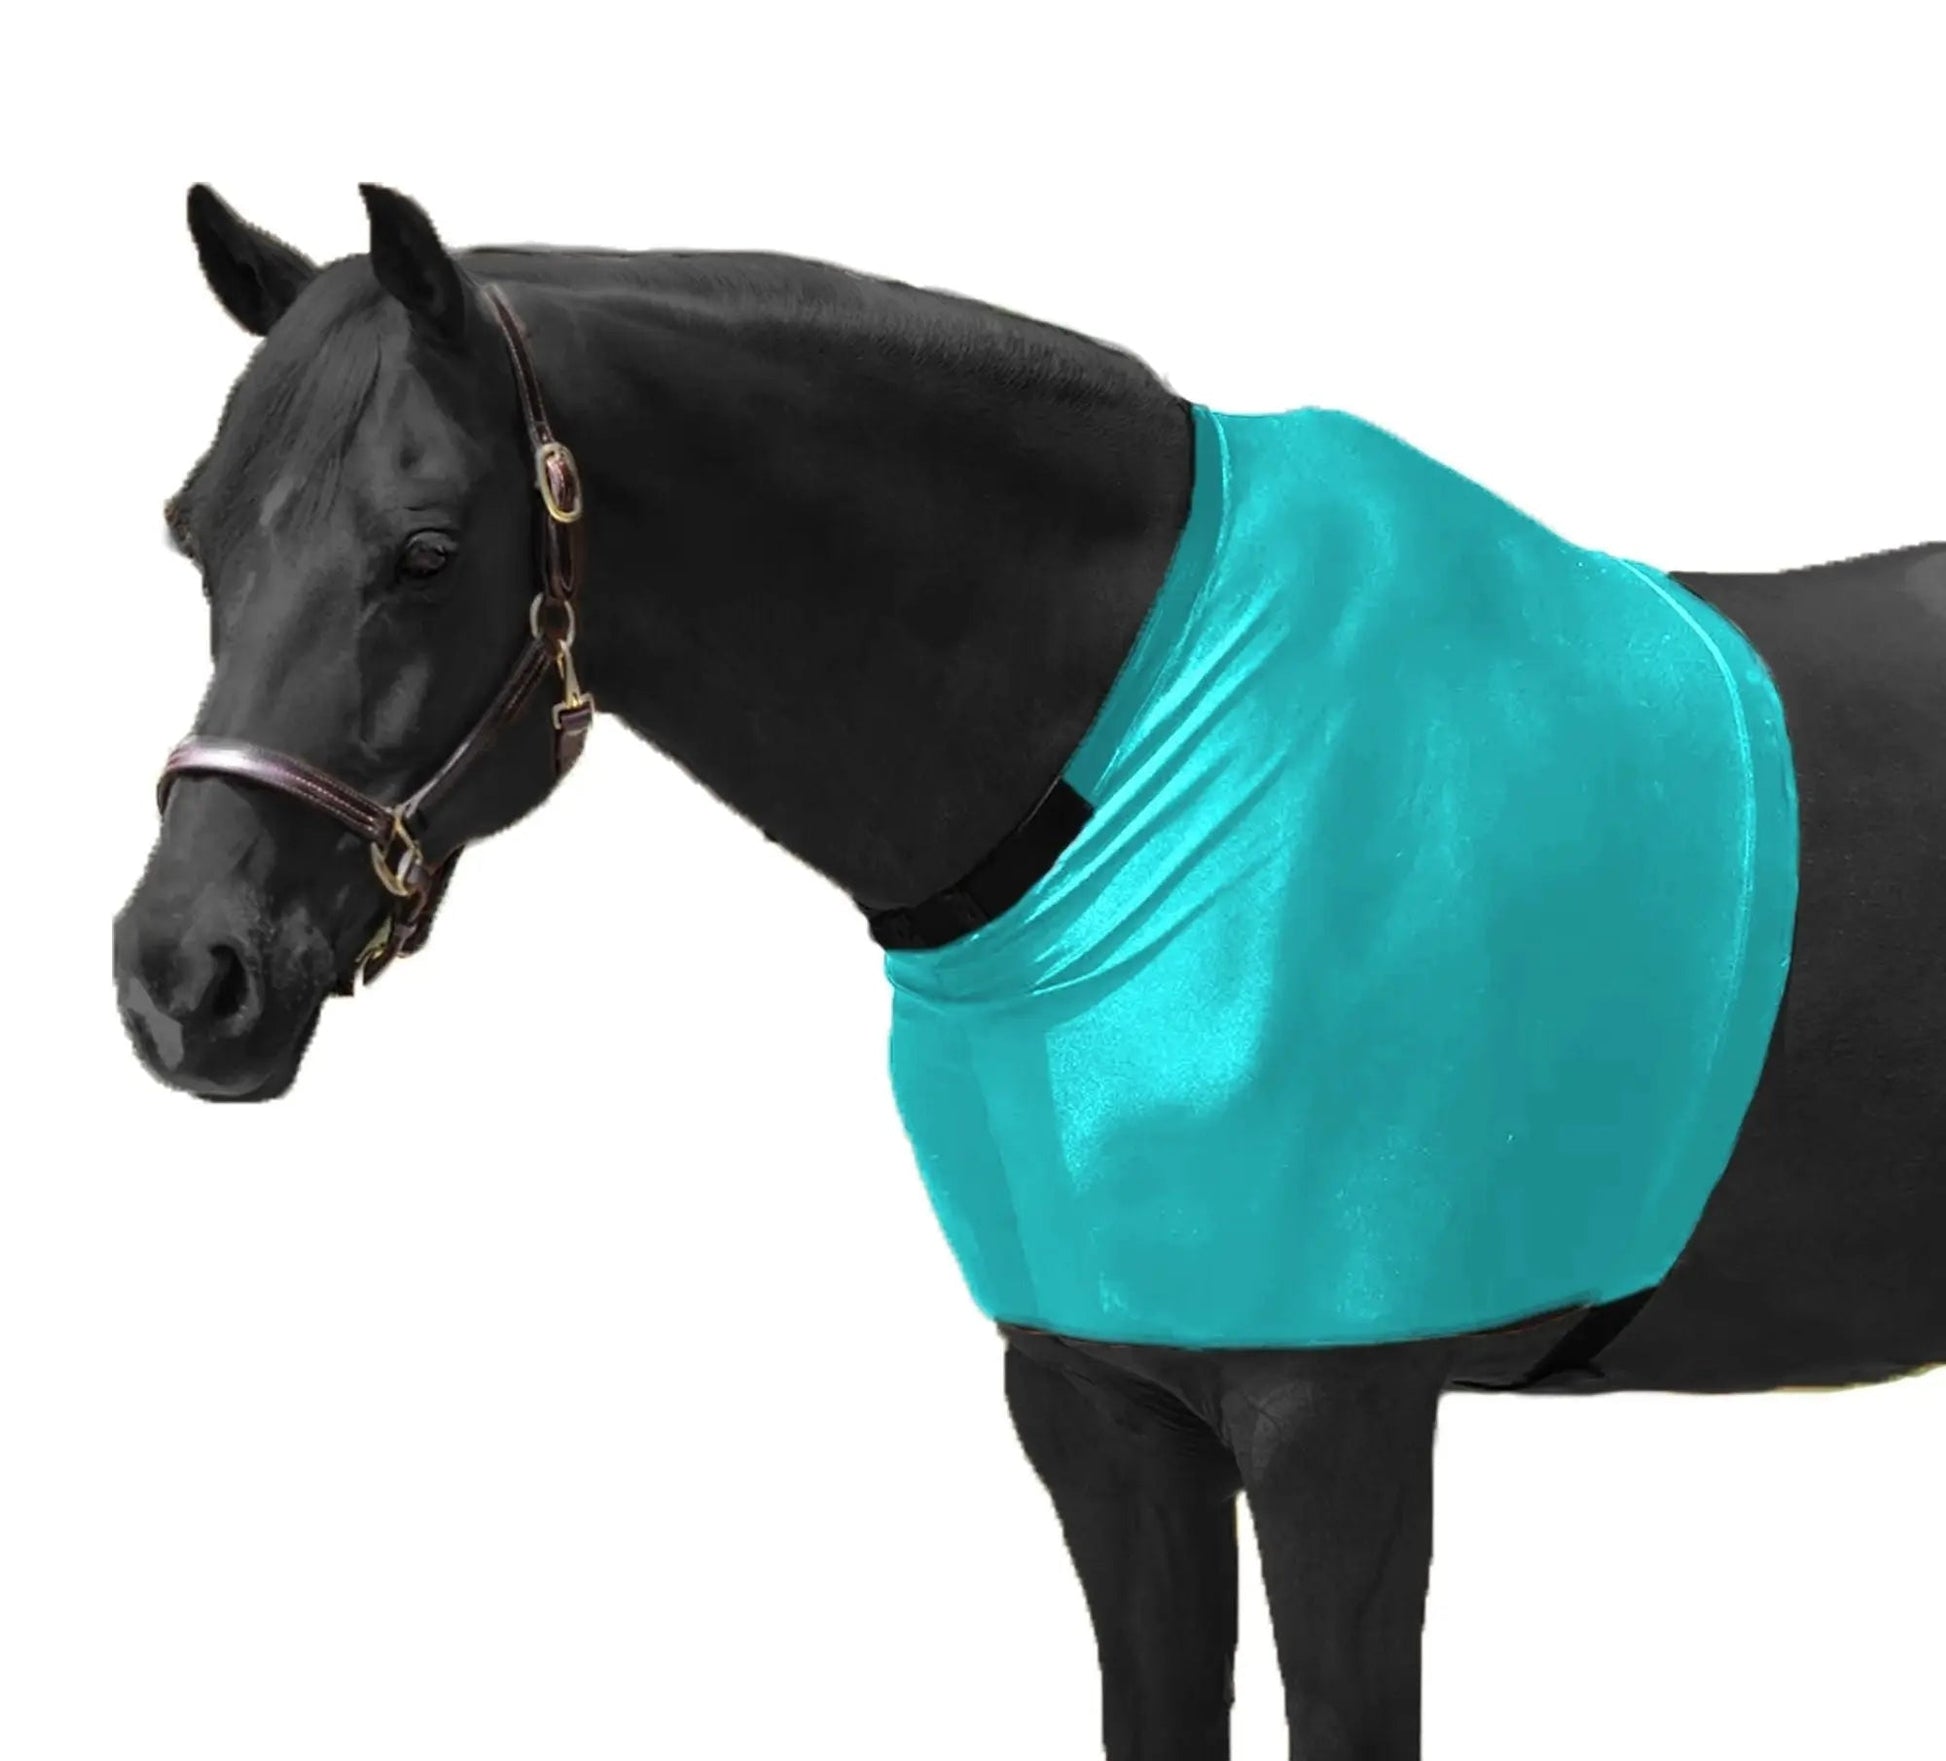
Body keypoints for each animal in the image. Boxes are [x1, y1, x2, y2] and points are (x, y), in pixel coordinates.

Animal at [113, 184, 1944, 1761]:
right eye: (193, 534)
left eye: (426, 548)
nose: (183, 974)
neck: (1134, 766)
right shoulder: (1098, 1403)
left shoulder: (1337, 1425)